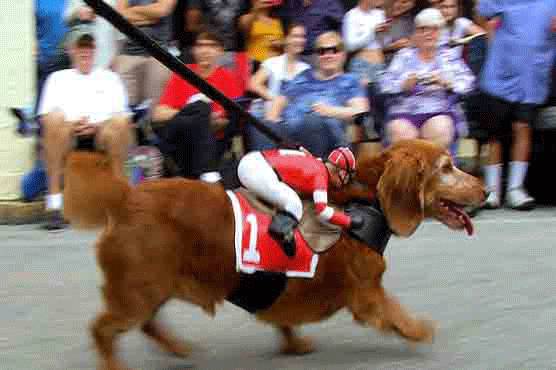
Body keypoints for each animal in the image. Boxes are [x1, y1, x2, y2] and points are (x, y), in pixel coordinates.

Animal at [62, 139, 486, 370]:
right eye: (447, 167)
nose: (485, 191)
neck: (365, 197)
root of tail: (125, 198)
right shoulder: (367, 294)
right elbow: (395, 313)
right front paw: (419, 330)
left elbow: (284, 318)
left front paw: (294, 344)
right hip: (137, 291)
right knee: (102, 330)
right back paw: (116, 363)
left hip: (150, 286)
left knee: (148, 324)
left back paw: (180, 348)